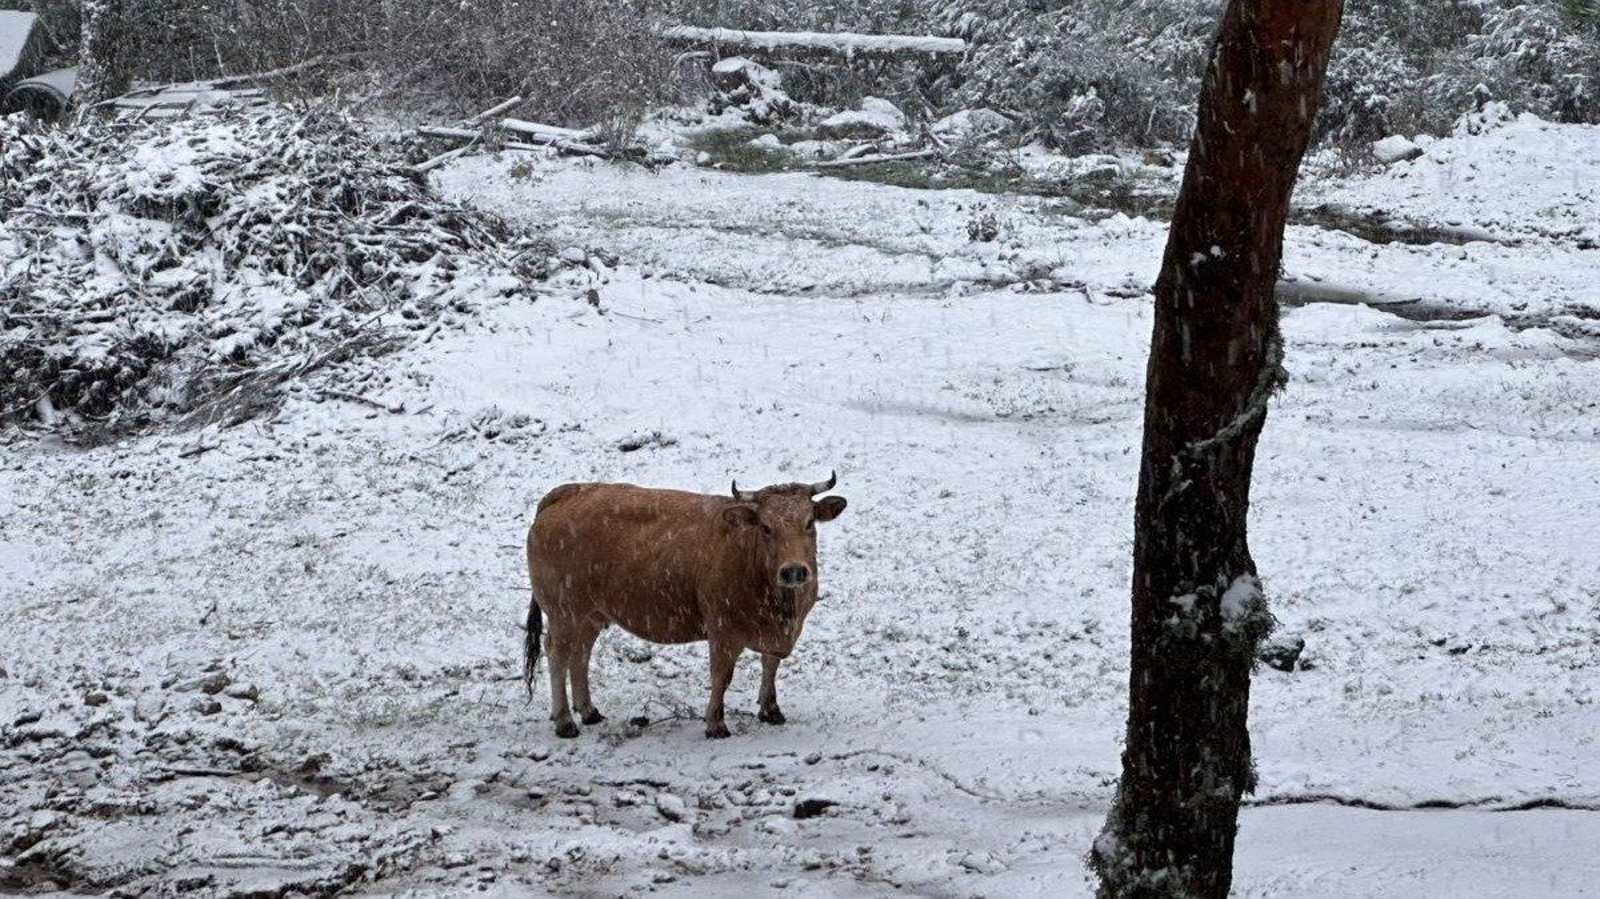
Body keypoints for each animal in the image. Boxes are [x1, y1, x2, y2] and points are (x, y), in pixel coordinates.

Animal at [523, 473, 848, 739]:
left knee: (580, 653)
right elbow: (721, 676)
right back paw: (565, 721)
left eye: (809, 523)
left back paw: (589, 711)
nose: (794, 571)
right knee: (558, 654)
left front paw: (770, 709)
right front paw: (715, 723)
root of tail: (571, 491)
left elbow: (770, 665)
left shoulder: (779, 632)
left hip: (591, 613)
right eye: (766, 527)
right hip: (563, 612)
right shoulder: (723, 630)